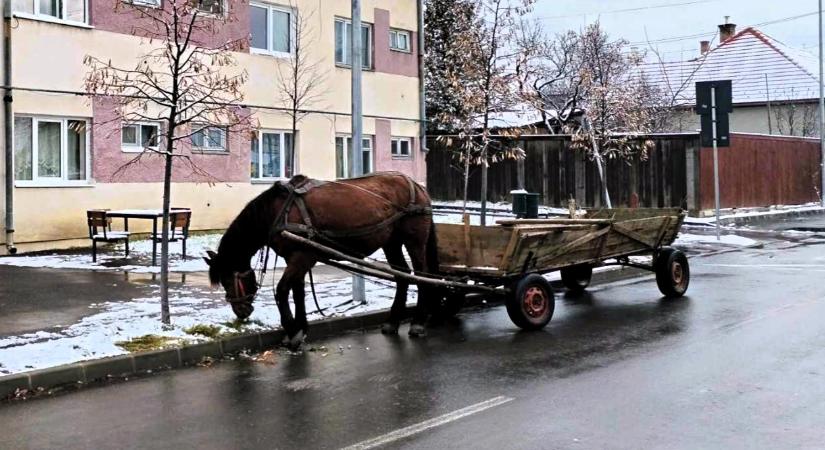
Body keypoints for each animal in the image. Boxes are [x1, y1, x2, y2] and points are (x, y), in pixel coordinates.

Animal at [204, 172, 440, 348]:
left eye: (228, 279)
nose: (240, 312)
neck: (278, 211)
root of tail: (417, 186)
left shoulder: (302, 256)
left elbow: (282, 290)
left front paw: (291, 329)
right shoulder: (295, 258)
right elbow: (298, 292)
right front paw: (300, 329)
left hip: (414, 240)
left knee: (421, 276)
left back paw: (418, 322)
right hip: (391, 242)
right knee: (402, 276)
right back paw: (392, 322)